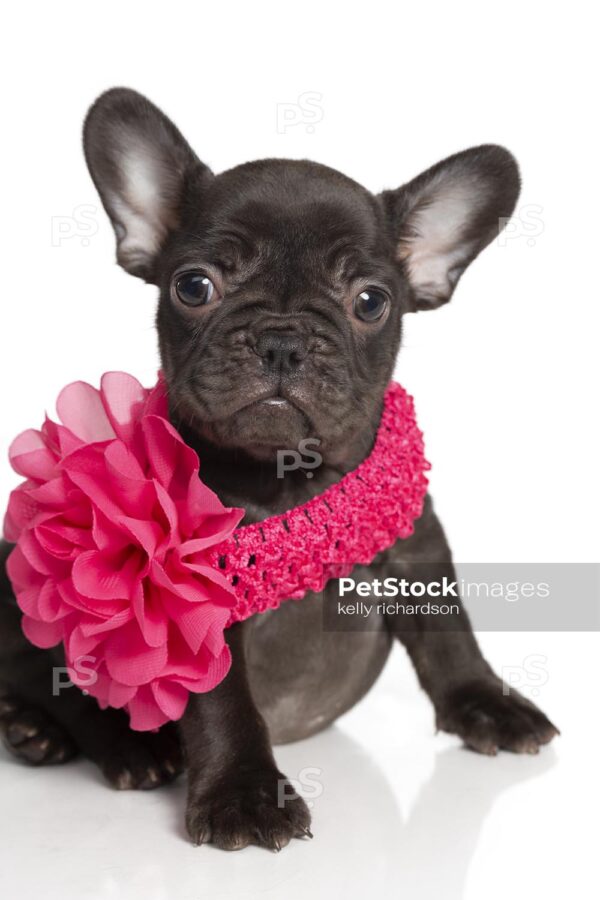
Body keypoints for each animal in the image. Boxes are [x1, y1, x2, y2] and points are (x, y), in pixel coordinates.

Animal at [0, 89, 556, 852]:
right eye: (193, 286)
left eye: (372, 300)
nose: (283, 339)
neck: (287, 477)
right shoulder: (198, 607)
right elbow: (223, 702)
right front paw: (245, 793)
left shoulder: (418, 550)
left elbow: (451, 635)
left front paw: (487, 702)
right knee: (41, 679)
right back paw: (95, 741)